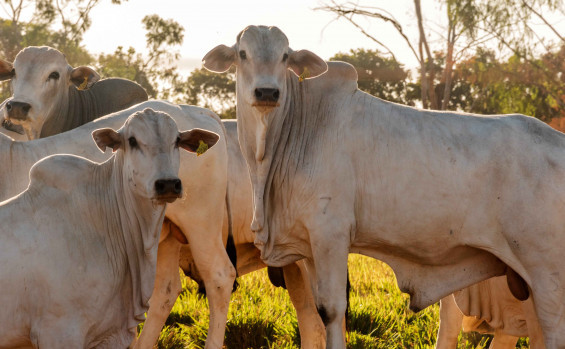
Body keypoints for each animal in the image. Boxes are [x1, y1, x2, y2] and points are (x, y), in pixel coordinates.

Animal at [0, 99, 236, 346]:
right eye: (131, 141)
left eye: (177, 140)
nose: (168, 184)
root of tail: (200, 110)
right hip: (169, 236)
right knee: (167, 289)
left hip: (201, 224)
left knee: (219, 276)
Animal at [203, 23, 564, 346]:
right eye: (243, 53)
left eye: (285, 55)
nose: (267, 92)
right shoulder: (308, 244)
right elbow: (316, 312)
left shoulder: (331, 234)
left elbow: (331, 310)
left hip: (547, 276)